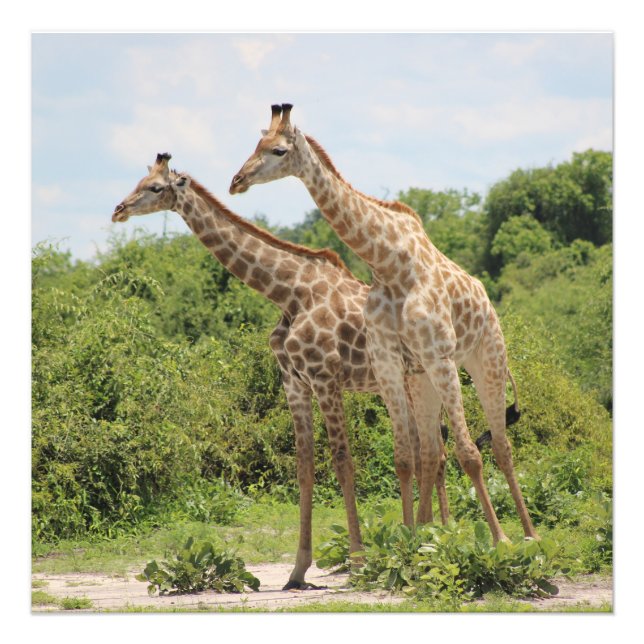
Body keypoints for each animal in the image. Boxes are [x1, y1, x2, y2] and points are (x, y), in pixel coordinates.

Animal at [112, 152, 449, 590]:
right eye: (138, 181)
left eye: (154, 187)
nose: (119, 209)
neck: (288, 293)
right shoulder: (294, 382)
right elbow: (304, 467)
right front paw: (298, 570)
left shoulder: (325, 378)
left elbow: (343, 462)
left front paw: (358, 562)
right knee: (436, 452)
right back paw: (437, 534)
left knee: (433, 453)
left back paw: (431, 536)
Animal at [230, 104, 539, 543]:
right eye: (254, 145)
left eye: (277, 150)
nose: (236, 181)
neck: (389, 263)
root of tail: (486, 298)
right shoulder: (390, 360)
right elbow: (405, 457)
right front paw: (410, 539)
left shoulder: (439, 355)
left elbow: (470, 454)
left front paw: (499, 540)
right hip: (423, 378)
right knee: (435, 450)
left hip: (486, 359)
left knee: (499, 446)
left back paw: (528, 533)